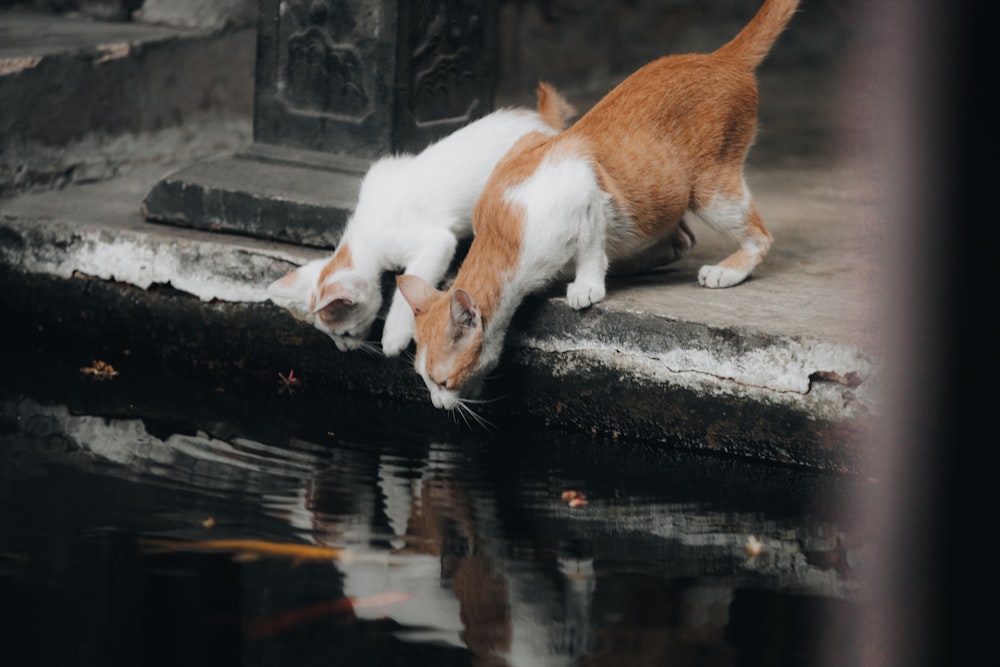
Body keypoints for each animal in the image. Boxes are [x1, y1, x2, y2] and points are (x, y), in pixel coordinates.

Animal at [270, 87, 576, 360]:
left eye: (344, 333)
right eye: (330, 336)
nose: (343, 350)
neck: (362, 232)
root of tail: (544, 123)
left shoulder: (435, 241)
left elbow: (414, 278)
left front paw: (394, 335)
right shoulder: (386, 168)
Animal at [396, 0, 796, 410]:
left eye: (442, 382)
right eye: (423, 380)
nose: (436, 405)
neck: (502, 235)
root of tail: (720, 57)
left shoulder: (585, 189)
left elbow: (589, 243)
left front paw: (586, 284)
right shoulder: (528, 144)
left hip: (711, 189)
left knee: (758, 236)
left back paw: (725, 270)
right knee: (682, 239)